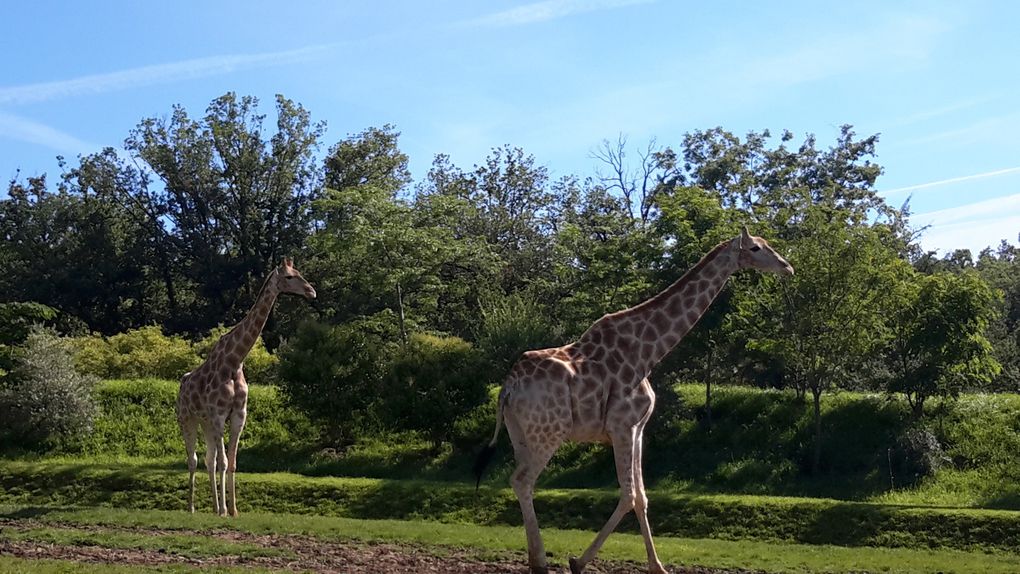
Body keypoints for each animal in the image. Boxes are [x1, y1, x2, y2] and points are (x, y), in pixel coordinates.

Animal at [176, 257, 314, 517]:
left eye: (300, 272)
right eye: (289, 277)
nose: (311, 291)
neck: (235, 361)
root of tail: (181, 384)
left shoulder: (239, 414)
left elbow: (231, 462)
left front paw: (232, 510)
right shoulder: (219, 415)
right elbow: (224, 462)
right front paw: (224, 510)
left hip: (206, 423)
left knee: (208, 460)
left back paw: (212, 507)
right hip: (187, 419)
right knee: (194, 459)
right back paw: (191, 508)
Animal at [473, 227, 791, 570]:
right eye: (756, 248)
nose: (787, 267)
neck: (647, 352)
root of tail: (508, 388)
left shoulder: (638, 428)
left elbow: (642, 496)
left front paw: (658, 566)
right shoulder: (622, 426)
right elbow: (628, 495)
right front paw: (579, 562)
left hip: (520, 433)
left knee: (520, 481)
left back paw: (536, 559)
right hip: (549, 432)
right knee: (523, 480)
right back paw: (541, 561)